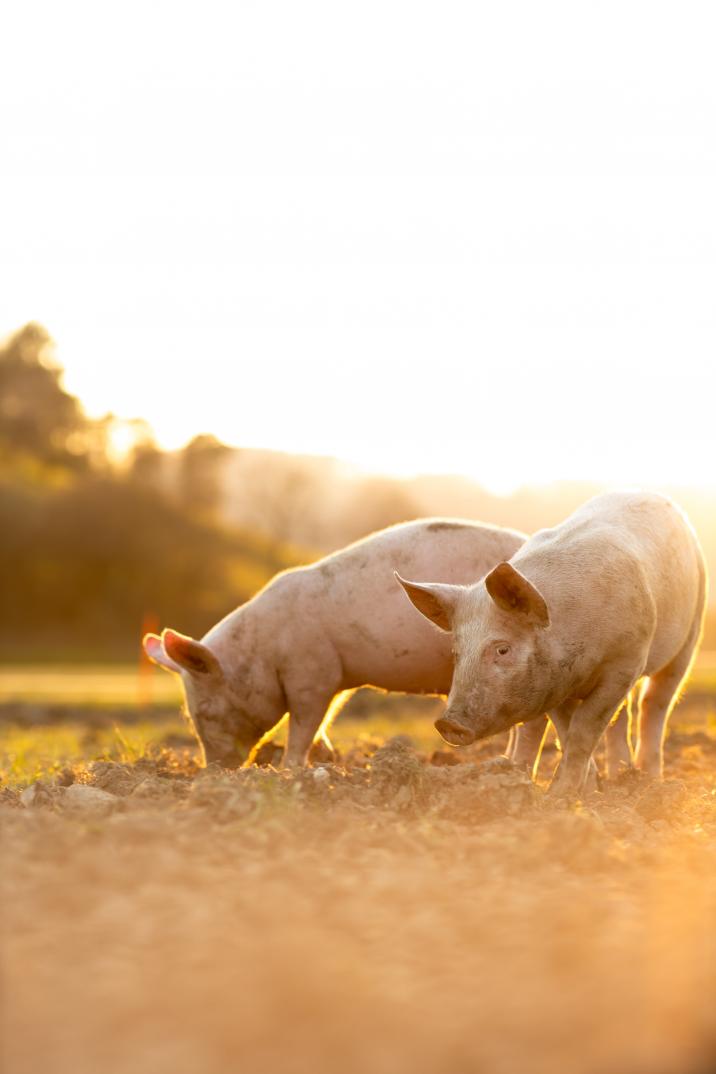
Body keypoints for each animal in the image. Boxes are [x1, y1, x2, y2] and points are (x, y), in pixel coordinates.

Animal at [143, 518, 527, 768]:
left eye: (205, 712)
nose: (213, 772)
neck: (264, 652)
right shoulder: (336, 678)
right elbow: (325, 720)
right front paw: (327, 759)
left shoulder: (312, 674)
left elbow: (304, 722)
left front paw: (290, 770)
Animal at [396, 491, 707, 796]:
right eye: (456, 652)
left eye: (502, 649)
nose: (447, 723)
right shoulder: (553, 682)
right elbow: (567, 732)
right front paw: (574, 793)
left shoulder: (625, 663)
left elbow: (584, 728)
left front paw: (563, 796)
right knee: (622, 718)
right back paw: (620, 778)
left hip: (689, 633)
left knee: (654, 703)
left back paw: (649, 780)